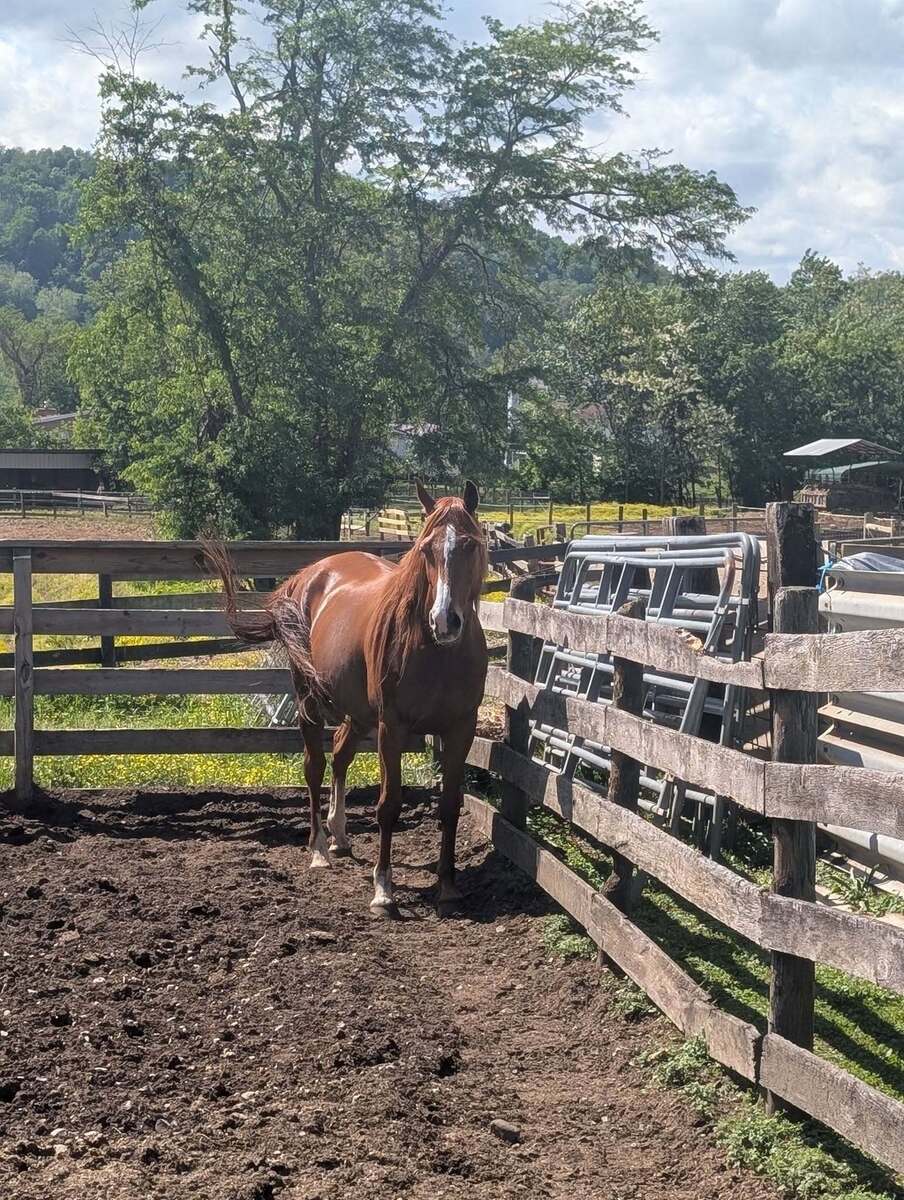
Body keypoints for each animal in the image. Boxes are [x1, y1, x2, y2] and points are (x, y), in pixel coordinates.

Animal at [206, 482, 488, 915]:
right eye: (426, 548)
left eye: (470, 545)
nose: (444, 621)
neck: (437, 652)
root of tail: (308, 576)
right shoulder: (392, 727)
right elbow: (388, 805)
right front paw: (383, 889)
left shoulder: (461, 728)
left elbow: (449, 807)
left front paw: (448, 884)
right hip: (309, 701)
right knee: (315, 766)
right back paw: (320, 849)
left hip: (357, 713)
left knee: (340, 755)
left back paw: (339, 835)